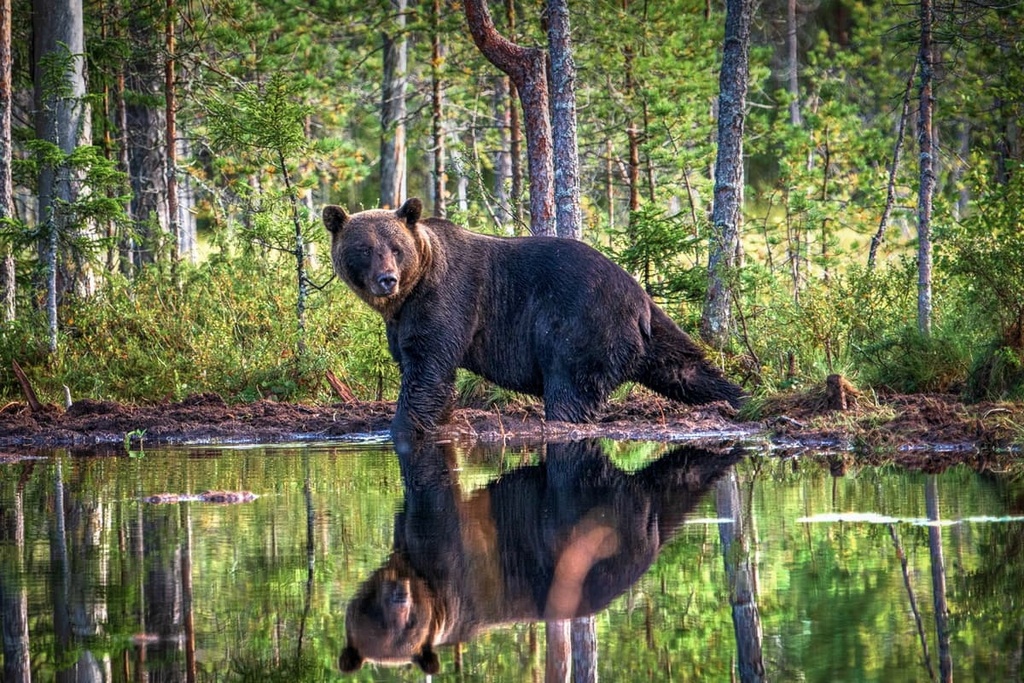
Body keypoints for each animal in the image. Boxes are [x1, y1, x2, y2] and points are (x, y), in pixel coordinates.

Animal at [322, 198, 744, 442]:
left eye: (396, 247)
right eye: (364, 249)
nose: (387, 279)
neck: (408, 293)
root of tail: (638, 298)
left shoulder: (447, 298)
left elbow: (428, 367)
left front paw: (401, 427)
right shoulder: (403, 318)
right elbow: (425, 368)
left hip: (584, 326)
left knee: (571, 390)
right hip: (652, 330)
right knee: (684, 366)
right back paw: (739, 397)